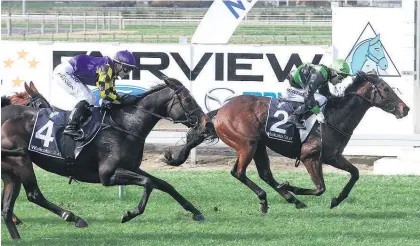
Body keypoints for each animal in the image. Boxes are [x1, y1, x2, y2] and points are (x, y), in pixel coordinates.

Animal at [0, 78, 210, 239]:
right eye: (188, 100)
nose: (206, 123)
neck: (125, 125)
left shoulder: (131, 167)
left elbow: (165, 184)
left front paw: (196, 212)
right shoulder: (107, 175)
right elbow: (148, 183)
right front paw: (129, 214)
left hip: (11, 171)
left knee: (8, 207)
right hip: (21, 162)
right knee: (34, 195)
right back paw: (74, 218)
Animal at [164, 71, 410, 211]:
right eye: (386, 88)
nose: (405, 108)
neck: (334, 118)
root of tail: (221, 110)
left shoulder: (333, 157)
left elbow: (355, 174)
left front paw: (337, 200)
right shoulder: (310, 156)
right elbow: (320, 188)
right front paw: (293, 186)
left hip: (259, 145)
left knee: (265, 174)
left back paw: (292, 199)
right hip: (247, 144)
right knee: (239, 173)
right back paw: (269, 199)